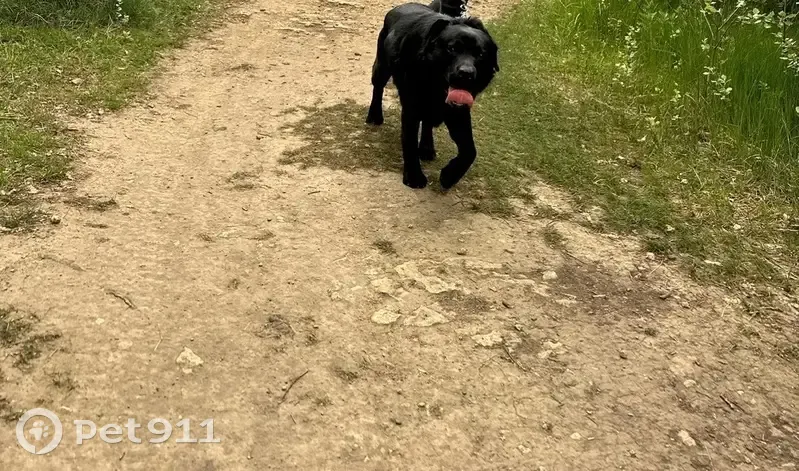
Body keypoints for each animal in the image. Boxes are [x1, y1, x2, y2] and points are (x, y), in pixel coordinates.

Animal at [365, 3, 499, 189]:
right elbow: (409, 142)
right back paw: (375, 115)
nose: (466, 73)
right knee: (378, 88)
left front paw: (450, 176)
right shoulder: (411, 107)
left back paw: (427, 148)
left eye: (480, 54)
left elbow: (469, 150)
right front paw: (414, 177)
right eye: (452, 49)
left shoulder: (458, 112)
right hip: (382, 67)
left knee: (428, 122)